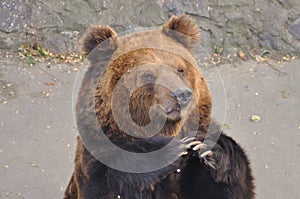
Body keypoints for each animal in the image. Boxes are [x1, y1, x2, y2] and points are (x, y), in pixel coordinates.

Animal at [64, 15, 254, 199]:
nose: (182, 94)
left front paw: (208, 148)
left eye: (180, 69)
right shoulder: (96, 154)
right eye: (148, 74)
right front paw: (173, 150)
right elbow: (109, 183)